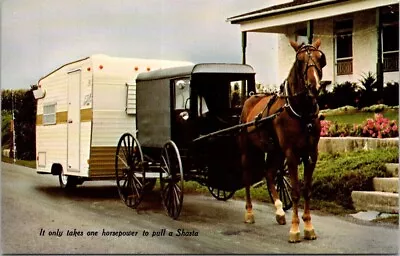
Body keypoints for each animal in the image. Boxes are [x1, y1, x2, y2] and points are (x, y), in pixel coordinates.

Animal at [239, 38, 326, 242]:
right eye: (300, 60)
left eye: (320, 58)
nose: (314, 86)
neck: (301, 112)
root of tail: (250, 99)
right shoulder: (291, 154)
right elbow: (295, 192)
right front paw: (295, 230)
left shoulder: (312, 154)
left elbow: (306, 189)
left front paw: (308, 227)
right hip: (249, 149)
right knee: (247, 176)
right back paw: (249, 212)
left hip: (275, 151)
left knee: (269, 173)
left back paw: (279, 211)